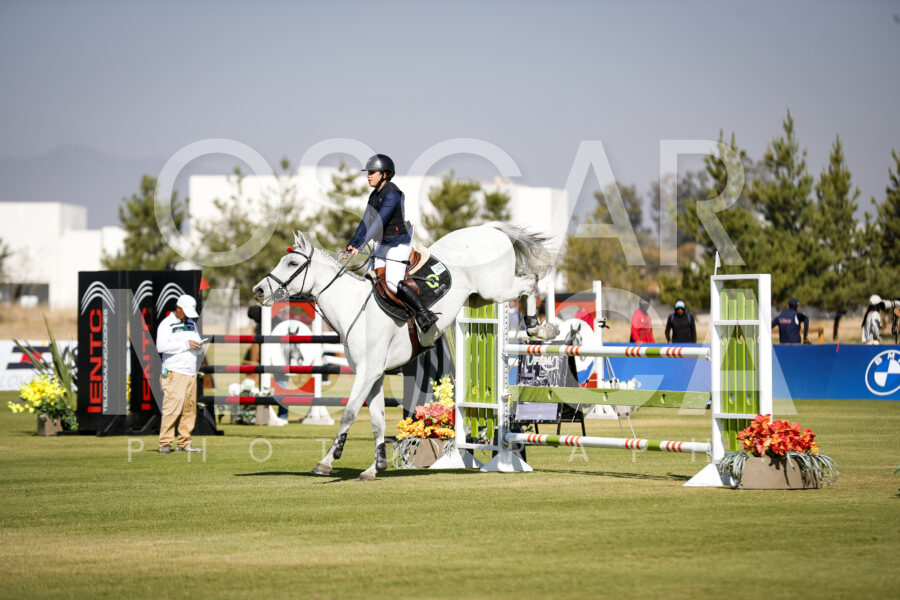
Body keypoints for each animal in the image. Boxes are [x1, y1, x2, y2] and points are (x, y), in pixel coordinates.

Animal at [252, 222, 559, 481]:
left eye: (292, 263)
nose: (258, 291)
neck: (355, 309)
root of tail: (489, 228)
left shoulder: (367, 373)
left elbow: (349, 414)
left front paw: (327, 461)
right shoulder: (375, 375)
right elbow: (377, 421)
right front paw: (374, 468)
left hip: (496, 289)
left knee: (531, 281)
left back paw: (540, 329)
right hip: (481, 296)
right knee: (527, 282)